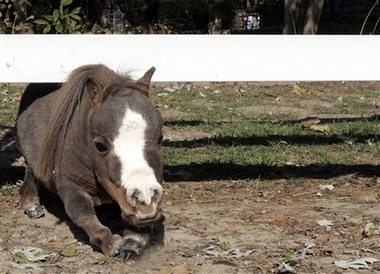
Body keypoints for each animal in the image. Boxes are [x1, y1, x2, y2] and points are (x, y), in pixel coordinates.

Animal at [15, 64, 163, 256]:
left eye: (160, 138)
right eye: (100, 145)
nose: (145, 198)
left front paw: (134, 238)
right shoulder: (68, 182)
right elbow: (80, 211)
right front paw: (110, 242)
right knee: (30, 171)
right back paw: (31, 203)